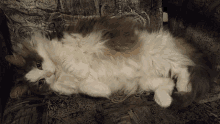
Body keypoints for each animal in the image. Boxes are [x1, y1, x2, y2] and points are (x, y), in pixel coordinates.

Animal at [5, 16, 211, 107]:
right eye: (40, 82)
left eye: (39, 64)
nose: (49, 73)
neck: (60, 73)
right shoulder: (73, 87)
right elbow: (86, 87)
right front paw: (103, 90)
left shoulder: (68, 44)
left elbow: (70, 60)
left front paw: (77, 68)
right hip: (146, 81)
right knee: (167, 84)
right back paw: (164, 100)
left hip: (160, 58)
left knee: (183, 69)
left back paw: (184, 88)